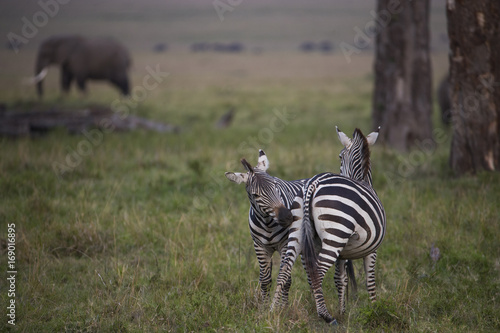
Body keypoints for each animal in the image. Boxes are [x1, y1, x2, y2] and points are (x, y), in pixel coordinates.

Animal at [272, 126, 384, 322]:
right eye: (340, 156)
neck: (362, 180)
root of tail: (313, 183)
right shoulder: (372, 249)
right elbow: (370, 280)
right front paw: (374, 310)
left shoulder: (343, 252)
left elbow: (341, 279)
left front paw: (343, 311)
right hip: (335, 234)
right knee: (317, 272)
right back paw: (325, 315)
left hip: (297, 231)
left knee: (285, 270)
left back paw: (271, 311)